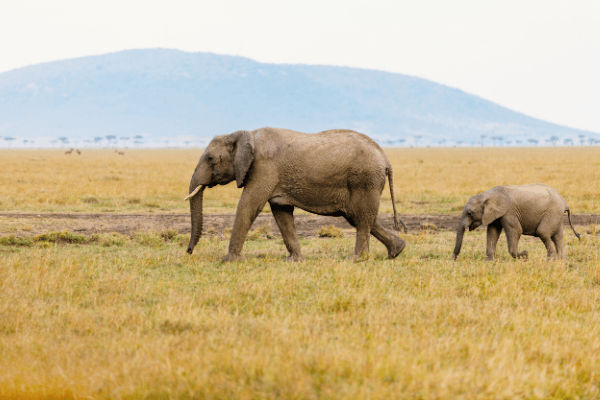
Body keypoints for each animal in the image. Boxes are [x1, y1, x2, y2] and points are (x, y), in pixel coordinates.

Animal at [184, 126, 408, 260]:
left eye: (211, 159)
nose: (188, 252)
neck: (245, 134)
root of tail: (386, 159)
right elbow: (281, 213)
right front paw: (295, 260)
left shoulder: (264, 168)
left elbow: (249, 205)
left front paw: (228, 261)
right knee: (361, 217)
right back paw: (396, 251)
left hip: (364, 179)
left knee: (361, 219)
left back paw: (357, 259)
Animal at [452, 185, 580, 262]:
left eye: (469, 213)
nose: (453, 259)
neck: (488, 195)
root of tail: (565, 202)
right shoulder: (496, 214)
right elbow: (492, 232)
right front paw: (489, 261)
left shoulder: (509, 213)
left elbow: (515, 231)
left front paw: (524, 255)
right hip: (557, 216)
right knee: (557, 237)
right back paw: (561, 261)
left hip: (552, 213)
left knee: (543, 232)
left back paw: (550, 260)